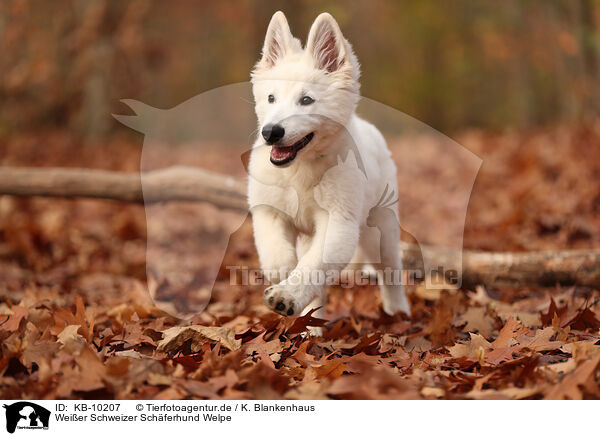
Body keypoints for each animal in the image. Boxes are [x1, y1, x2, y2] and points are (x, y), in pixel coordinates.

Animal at [246, 10, 410, 328]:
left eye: (306, 100)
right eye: (271, 98)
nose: (270, 132)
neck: (299, 170)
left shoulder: (337, 223)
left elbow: (313, 265)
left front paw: (286, 294)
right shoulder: (269, 211)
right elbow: (276, 253)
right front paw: (283, 276)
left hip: (382, 229)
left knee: (390, 272)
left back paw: (398, 312)